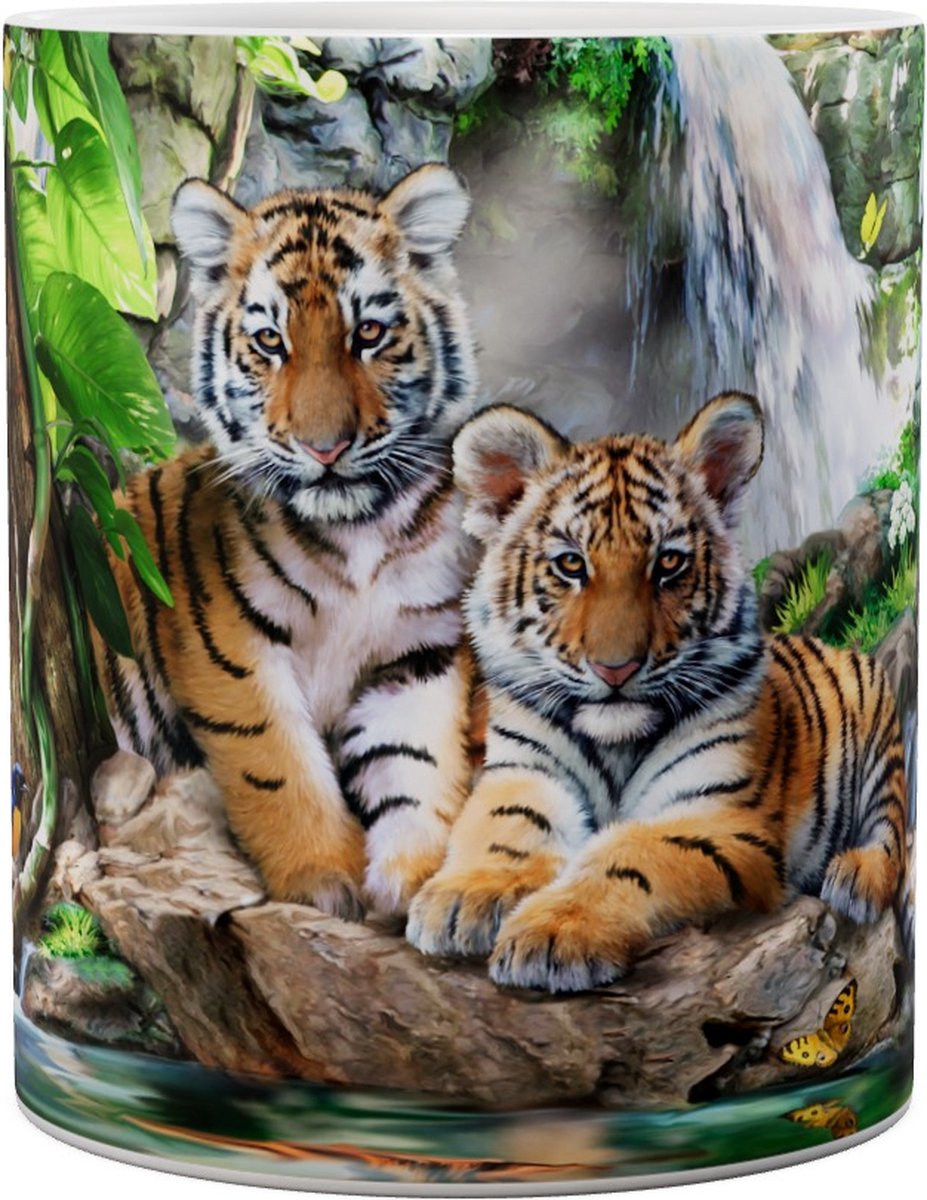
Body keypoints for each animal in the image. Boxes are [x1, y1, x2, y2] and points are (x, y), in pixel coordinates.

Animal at [92, 164, 480, 920]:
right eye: (271, 341)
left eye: (369, 333)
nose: (324, 448)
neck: (356, 531)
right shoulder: (229, 647)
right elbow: (278, 765)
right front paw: (324, 877)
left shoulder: (417, 653)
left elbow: (416, 761)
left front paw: (415, 878)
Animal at [406, 394, 911, 992]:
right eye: (571, 564)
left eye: (669, 562)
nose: (616, 669)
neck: (615, 744)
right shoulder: (526, 770)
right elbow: (506, 825)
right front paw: (462, 897)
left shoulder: (718, 817)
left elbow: (632, 854)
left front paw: (554, 933)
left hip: (879, 729)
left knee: (892, 831)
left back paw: (854, 880)